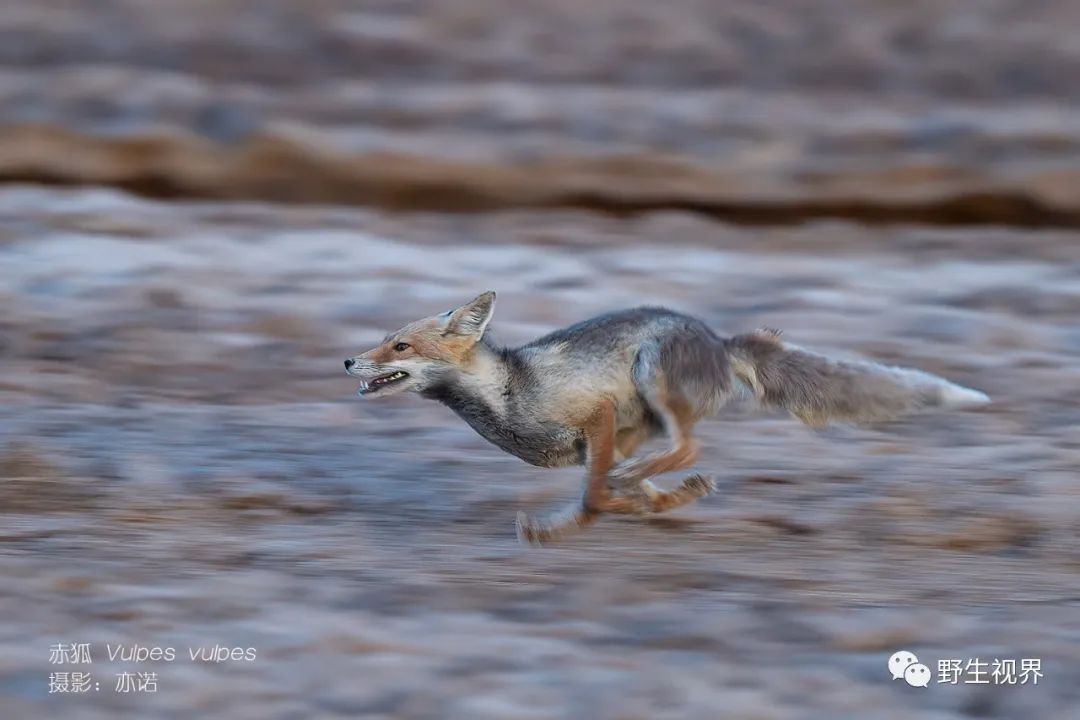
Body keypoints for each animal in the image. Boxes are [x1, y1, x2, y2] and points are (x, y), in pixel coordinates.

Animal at [343, 293, 989, 546]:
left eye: (399, 346)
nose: (348, 360)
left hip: (652, 377)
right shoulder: (604, 440)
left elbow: (596, 497)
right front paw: (663, 503)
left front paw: (567, 527)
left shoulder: (599, 418)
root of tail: (718, 339)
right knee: (671, 457)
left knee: (688, 447)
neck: (508, 394)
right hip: (645, 420)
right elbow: (614, 493)